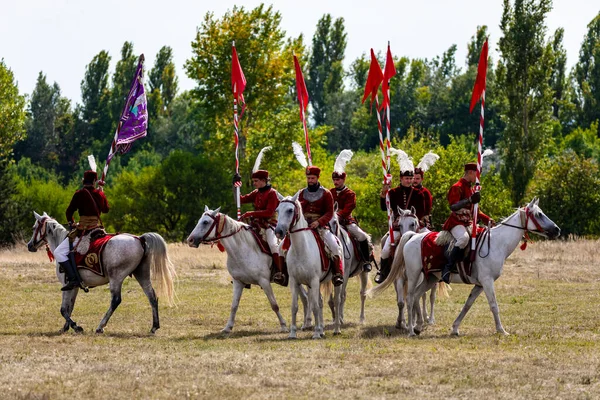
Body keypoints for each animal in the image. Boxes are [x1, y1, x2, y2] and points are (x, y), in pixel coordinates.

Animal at [274, 194, 340, 338]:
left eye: (290, 210)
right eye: (277, 210)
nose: (278, 232)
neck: (301, 249)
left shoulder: (314, 281)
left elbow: (314, 306)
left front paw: (315, 334)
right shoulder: (295, 281)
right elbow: (295, 306)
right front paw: (293, 333)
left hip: (335, 282)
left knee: (337, 301)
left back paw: (336, 329)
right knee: (320, 302)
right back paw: (321, 330)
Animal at [378, 198, 560, 336]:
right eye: (538, 214)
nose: (557, 230)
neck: (496, 243)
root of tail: (413, 236)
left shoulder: (479, 285)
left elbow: (467, 305)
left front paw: (455, 328)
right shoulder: (487, 282)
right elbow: (494, 305)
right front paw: (501, 330)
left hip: (430, 278)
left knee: (417, 296)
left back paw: (417, 327)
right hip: (414, 274)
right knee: (409, 298)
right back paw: (410, 330)